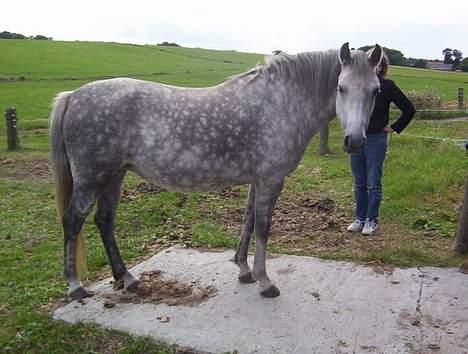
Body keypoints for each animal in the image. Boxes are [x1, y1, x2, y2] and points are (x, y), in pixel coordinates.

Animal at [49, 42, 382, 300]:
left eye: (376, 91)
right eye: (341, 87)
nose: (355, 141)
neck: (283, 102)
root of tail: (72, 96)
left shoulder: (257, 180)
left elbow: (248, 220)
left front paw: (243, 269)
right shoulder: (271, 179)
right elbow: (263, 227)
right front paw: (264, 281)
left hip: (114, 177)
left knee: (104, 221)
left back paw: (127, 279)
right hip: (91, 179)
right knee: (73, 220)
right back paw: (75, 286)